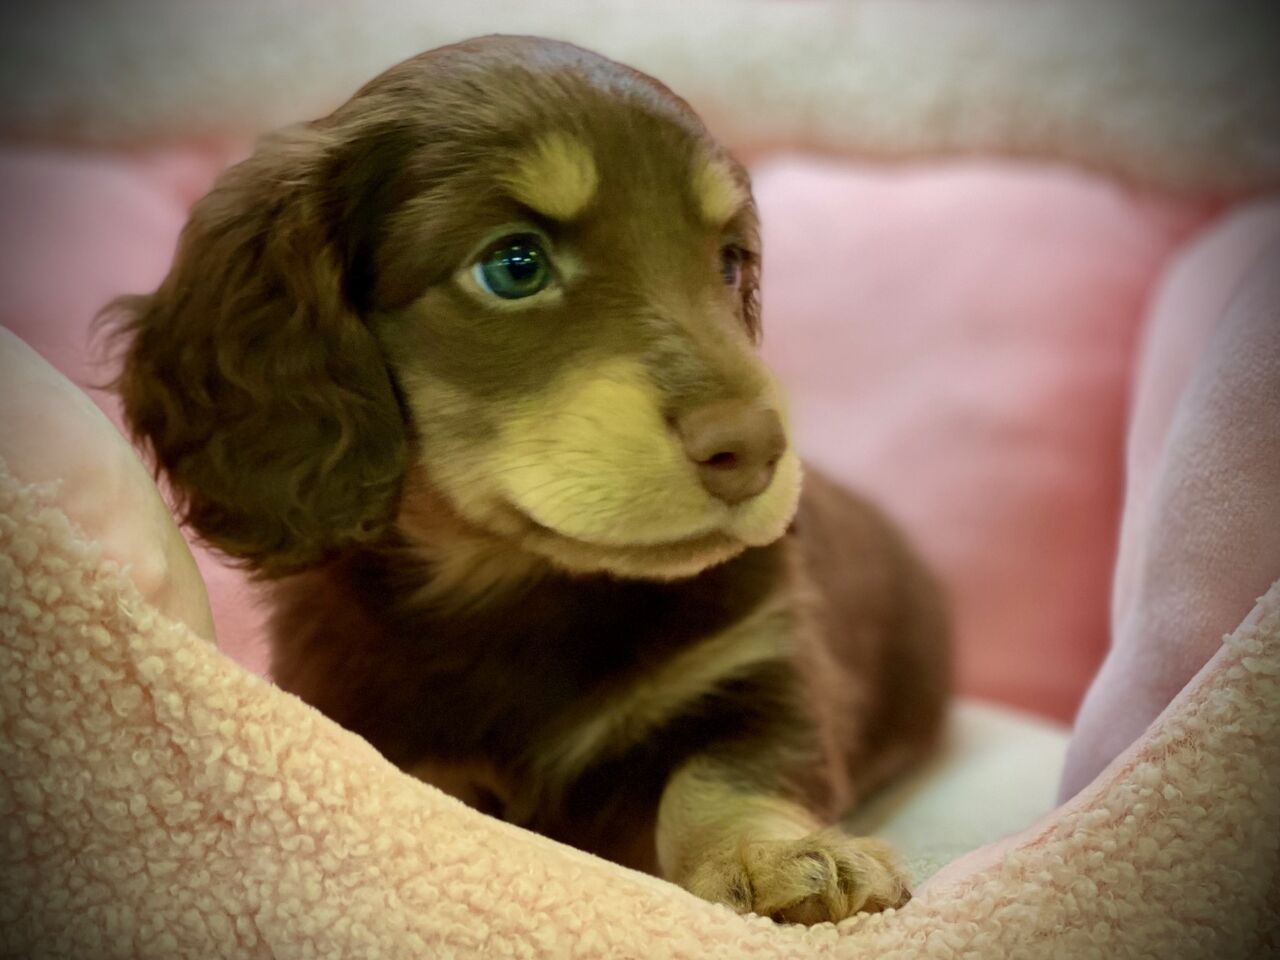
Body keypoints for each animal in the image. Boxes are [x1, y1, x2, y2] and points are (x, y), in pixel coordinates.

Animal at [110, 35, 949, 924]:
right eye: (515, 267)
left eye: (729, 263)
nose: (755, 450)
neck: (522, 592)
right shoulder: (374, 726)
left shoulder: (760, 665)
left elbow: (727, 774)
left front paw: (777, 854)